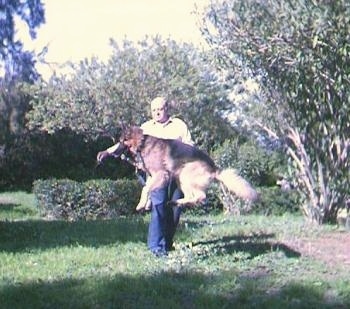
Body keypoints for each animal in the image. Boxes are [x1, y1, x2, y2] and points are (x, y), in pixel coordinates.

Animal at [110, 125, 258, 209]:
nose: (113, 152)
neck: (142, 143)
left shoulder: (161, 174)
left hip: (185, 175)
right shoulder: (153, 177)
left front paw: (141, 204)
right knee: (192, 196)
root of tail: (214, 168)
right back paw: (176, 202)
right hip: (179, 178)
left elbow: (146, 189)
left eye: (121, 141)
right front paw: (146, 204)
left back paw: (180, 202)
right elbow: (146, 189)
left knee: (201, 196)